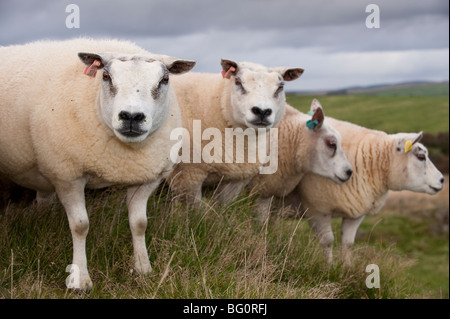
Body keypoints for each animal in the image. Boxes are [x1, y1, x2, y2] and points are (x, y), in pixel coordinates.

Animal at [0, 38, 197, 290]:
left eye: (164, 80)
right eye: (105, 76)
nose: (131, 116)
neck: (123, 155)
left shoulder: (146, 177)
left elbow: (140, 223)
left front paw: (143, 269)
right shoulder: (68, 175)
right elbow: (80, 225)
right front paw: (79, 280)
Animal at [167, 59, 304, 205]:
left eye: (280, 86)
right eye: (238, 82)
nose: (262, 111)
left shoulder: (236, 179)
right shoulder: (188, 176)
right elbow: (193, 208)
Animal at [286, 117, 444, 264]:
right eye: (421, 156)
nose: (442, 180)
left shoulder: (356, 211)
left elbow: (348, 244)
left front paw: (346, 268)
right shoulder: (317, 209)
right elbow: (328, 242)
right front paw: (329, 267)